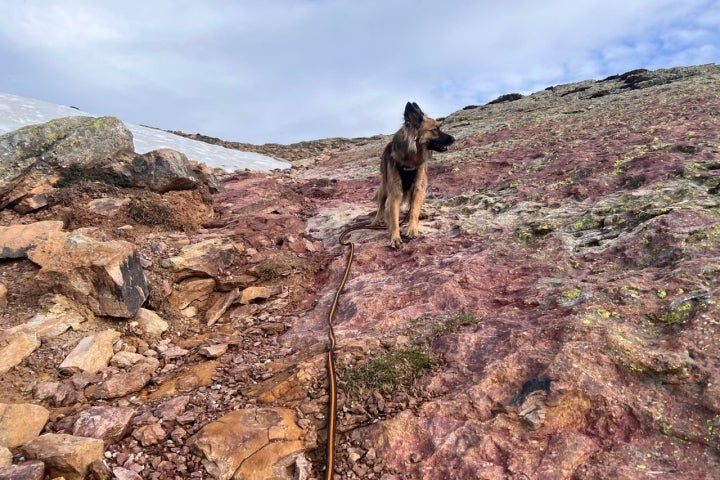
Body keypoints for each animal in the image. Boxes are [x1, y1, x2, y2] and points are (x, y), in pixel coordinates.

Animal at [372, 103, 456, 249]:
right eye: (435, 129)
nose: (453, 139)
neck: (410, 158)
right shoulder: (395, 191)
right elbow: (394, 217)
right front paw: (395, 237)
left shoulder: (418, 186)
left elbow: (414, 210)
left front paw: (412, 228)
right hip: (384, 186)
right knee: (381, 205)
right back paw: (377, 219)